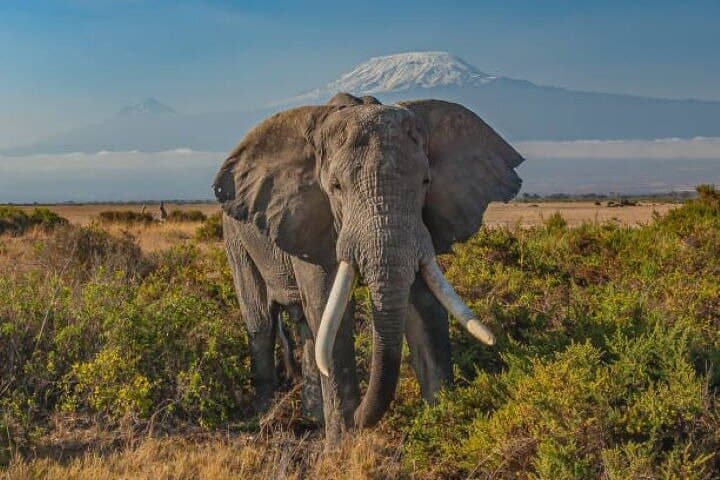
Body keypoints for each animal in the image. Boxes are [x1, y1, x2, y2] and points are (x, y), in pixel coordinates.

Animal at [213, 92, 524, 444]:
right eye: (335, 187)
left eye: (426, 182)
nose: (359, 420)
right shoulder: (310, 218)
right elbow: (329, 311)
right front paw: (341, 447)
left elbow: (425, 308)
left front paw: (445, 424)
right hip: (234, 234)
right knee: (262, 320)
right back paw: (265, 415)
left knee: (304, 325)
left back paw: (312, 417)